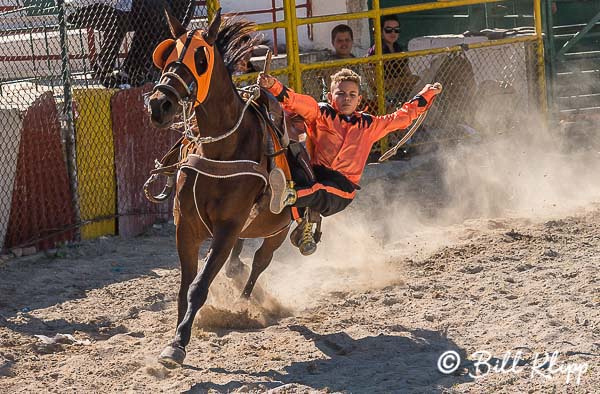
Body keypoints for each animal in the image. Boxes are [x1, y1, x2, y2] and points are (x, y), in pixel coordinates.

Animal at [146, 8, 294, 366]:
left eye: (201, 59)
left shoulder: (226, 229)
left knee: (260, 262)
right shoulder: (185, 227)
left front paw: (179, 343)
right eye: (167, 55)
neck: (221, 148)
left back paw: (244, 302)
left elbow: (199, 286)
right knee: (241, 260)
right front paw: (177, 333)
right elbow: (185, 287)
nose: (159, 105)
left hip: (279, 229)